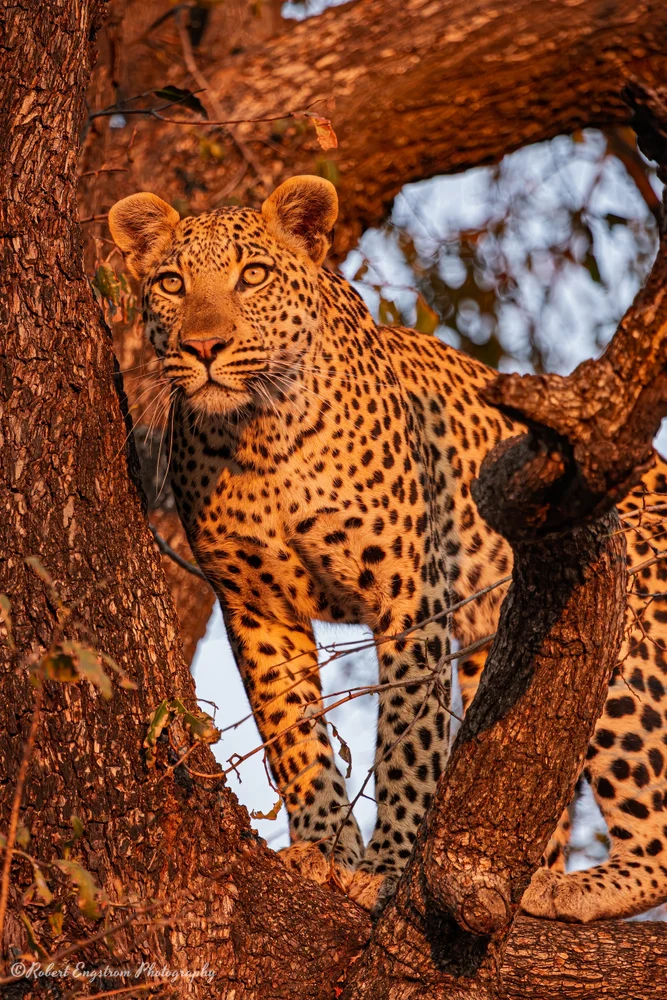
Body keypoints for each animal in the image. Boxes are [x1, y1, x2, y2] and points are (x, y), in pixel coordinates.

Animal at [109, 175, 667, 922]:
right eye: (171, 283)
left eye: (252, 276)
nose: (204, 347)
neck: (259, 437)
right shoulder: (257, 607)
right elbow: (294, 735)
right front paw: (324, 850)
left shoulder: (409, 595)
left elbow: (410, 735)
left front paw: (387, 868)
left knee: (656, 833)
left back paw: (570, 889)